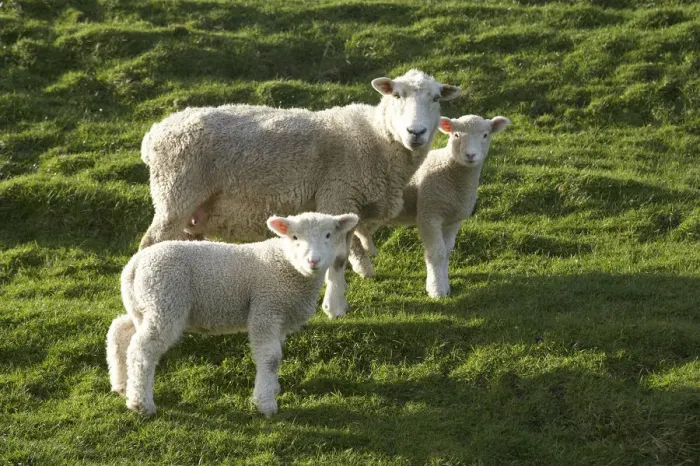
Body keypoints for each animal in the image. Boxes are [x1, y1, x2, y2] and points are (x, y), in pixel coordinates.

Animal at [107, 212, 359, 417]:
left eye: (328, 235)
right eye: (295, 237)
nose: (313, 260)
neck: (289, 266)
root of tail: (134, 265)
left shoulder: (278, 316)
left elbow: (276, 355)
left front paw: (272, 387)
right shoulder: (265, 309)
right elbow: (270, 358)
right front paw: (265, 404)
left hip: (145, 305)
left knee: (120, 330)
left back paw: (121, 384)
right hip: (165, 302)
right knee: (142, 350)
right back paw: (141, 404)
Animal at [137, 69, 462, 318]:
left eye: (436, 98)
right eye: (396, 95)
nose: (416, 132)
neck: (378, 139)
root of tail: (154, 134)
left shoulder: (349, 205)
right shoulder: (337, 196)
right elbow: (338, 258)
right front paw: (335, 307)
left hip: (193, 207)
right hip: (175, 193)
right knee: (149, 243)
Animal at [349, 115, 512, 298]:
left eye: (485, 135)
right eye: (456, 134)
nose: (470, 155)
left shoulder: (452, 220)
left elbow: (446, 252)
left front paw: (445, 285)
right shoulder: (429, 213)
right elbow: (436, 252)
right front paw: (436, 289)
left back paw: (363, 265)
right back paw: (363, 269)